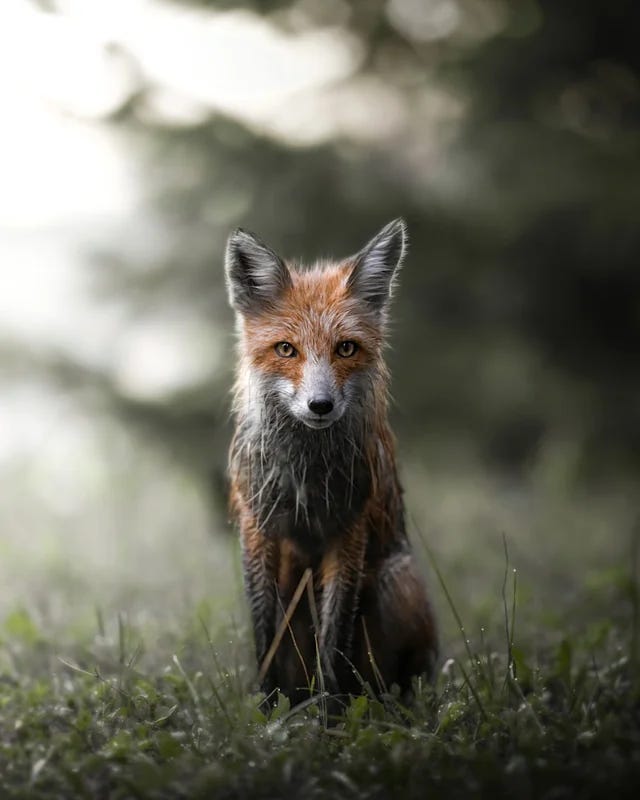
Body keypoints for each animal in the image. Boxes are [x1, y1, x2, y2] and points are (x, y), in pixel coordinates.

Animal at [225, 219, 438, 707]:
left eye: (346, 349)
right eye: (286, 350)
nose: (320, 405)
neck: (306, 476)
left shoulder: (348, 532)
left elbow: (335, 644)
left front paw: (331, 715)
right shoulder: (258, 528)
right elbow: (264, 638)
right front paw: (267, 711)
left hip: (392, 584)